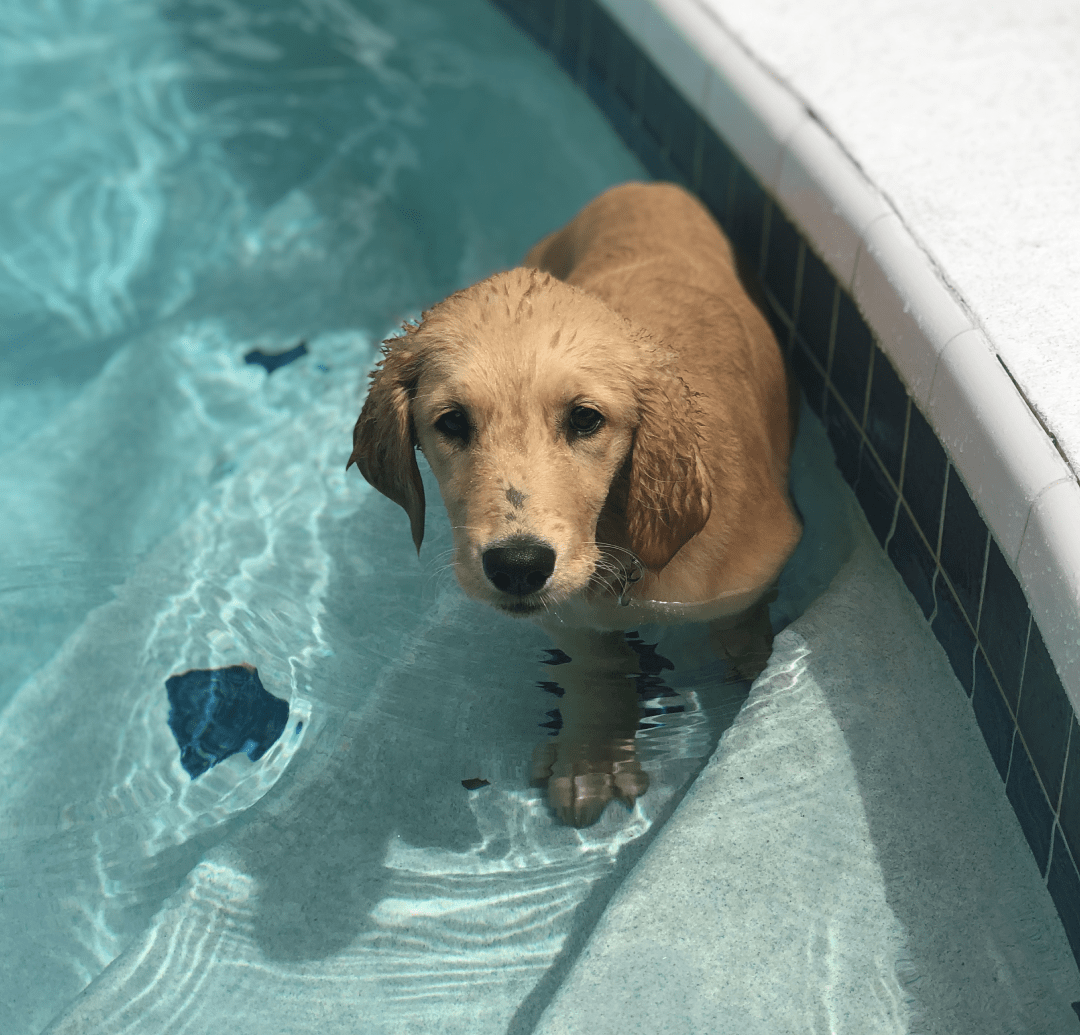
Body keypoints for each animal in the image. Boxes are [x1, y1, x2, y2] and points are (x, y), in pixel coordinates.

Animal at [349, 184, 799, 825]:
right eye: (452, 422)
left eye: (586, 419)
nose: (518, 566)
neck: (623, 538)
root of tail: (648, 187)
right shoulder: (573, 612)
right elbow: (597, 665)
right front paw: (592, 757)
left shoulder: (748, 576)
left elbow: (741, 629)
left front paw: (756, 670)